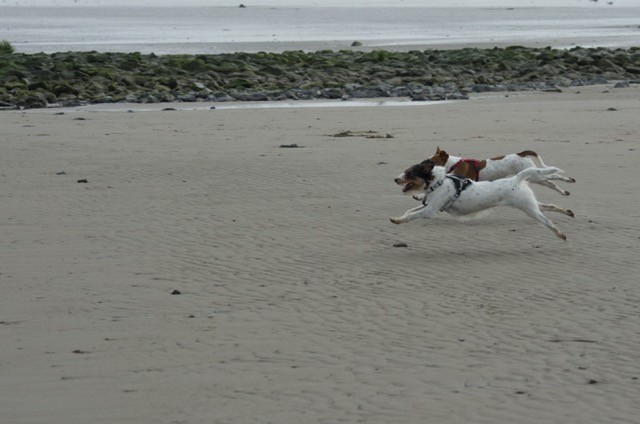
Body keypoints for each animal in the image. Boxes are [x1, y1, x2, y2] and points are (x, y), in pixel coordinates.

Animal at [392, 162, 572, 240]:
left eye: (409, 173)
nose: (395, 179)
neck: (438, 183)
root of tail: (515, 179)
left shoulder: (430, 210)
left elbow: (412, 215)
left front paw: (398, 220)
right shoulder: (429, 206)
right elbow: (410, 211)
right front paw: (398, 217)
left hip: (530, 209)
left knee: (547, 221)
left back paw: (560, 234)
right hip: (529, 204)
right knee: (549, 206)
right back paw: (568, 212)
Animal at [430, 147, 576, 196]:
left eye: (432, 162)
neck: (453, 164)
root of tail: (520, 154)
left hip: (534, 176)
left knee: (554, 175)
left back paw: (569, 180)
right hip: (534, 176)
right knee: (551, 182)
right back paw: (564, 191)